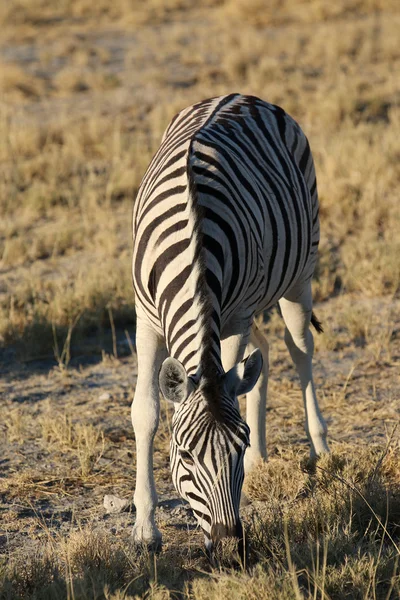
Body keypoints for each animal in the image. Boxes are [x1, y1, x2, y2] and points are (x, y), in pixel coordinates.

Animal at [131, 91, 328, 552]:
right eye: (185, 455)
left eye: (238, 446)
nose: (228, 547)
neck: (195, 250)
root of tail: (239, 95)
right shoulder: (146, 318)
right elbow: (145, 411)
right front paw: (146, 529)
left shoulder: (234, 316)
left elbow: (233, 385)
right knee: (263, 353)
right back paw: (265, 461)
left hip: (300, 273)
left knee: (299, 349)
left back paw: (319, 449)